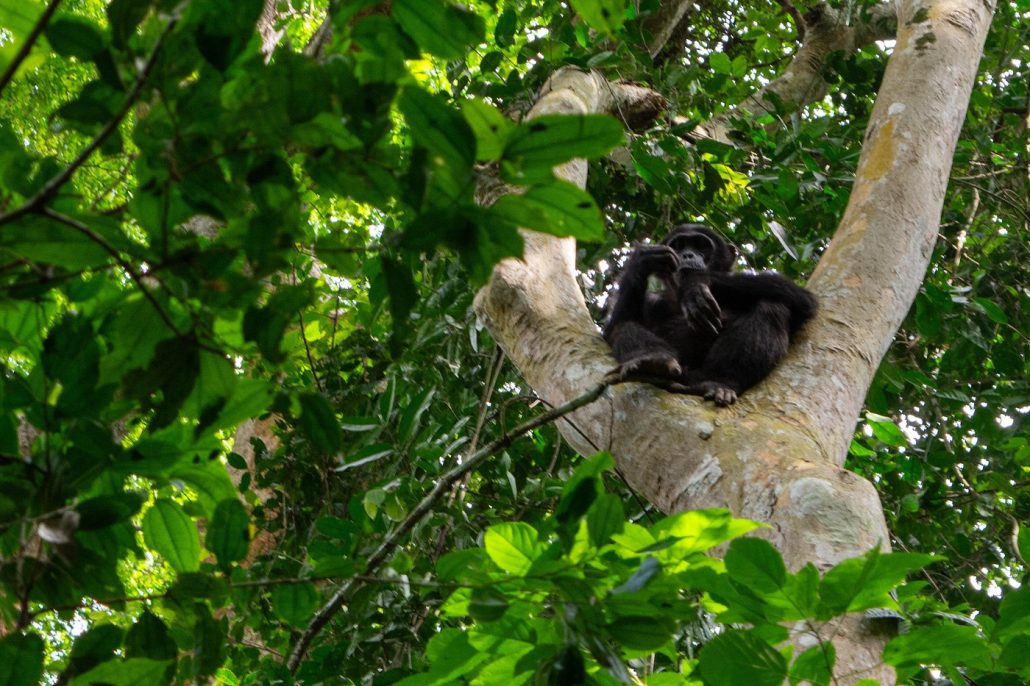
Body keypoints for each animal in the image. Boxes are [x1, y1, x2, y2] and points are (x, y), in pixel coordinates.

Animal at [601, 224, 815, 403]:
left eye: (701, 245)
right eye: (678, 245)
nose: (687, 255)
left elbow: (799, 297)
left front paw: (694, 284)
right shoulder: (651, 301)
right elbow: (614, 326)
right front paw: (642, 260)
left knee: (772, 308)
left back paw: (718, 382)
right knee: (623, 326)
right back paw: (654, 359)